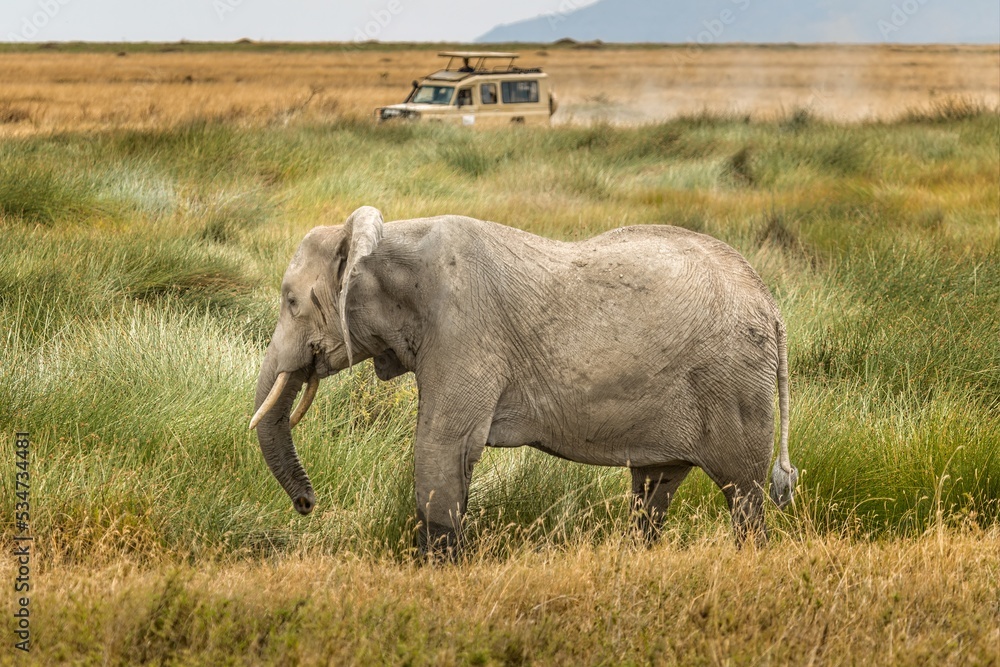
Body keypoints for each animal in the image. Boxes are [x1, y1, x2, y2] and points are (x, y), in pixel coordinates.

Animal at [251, 206, 798, 554]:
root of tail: (772, 307)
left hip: (732, 381)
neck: (389, 239)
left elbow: (441, 446)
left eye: (292, 302)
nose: (307, 505)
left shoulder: (465, 330)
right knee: (653, 490)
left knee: (744, 495)